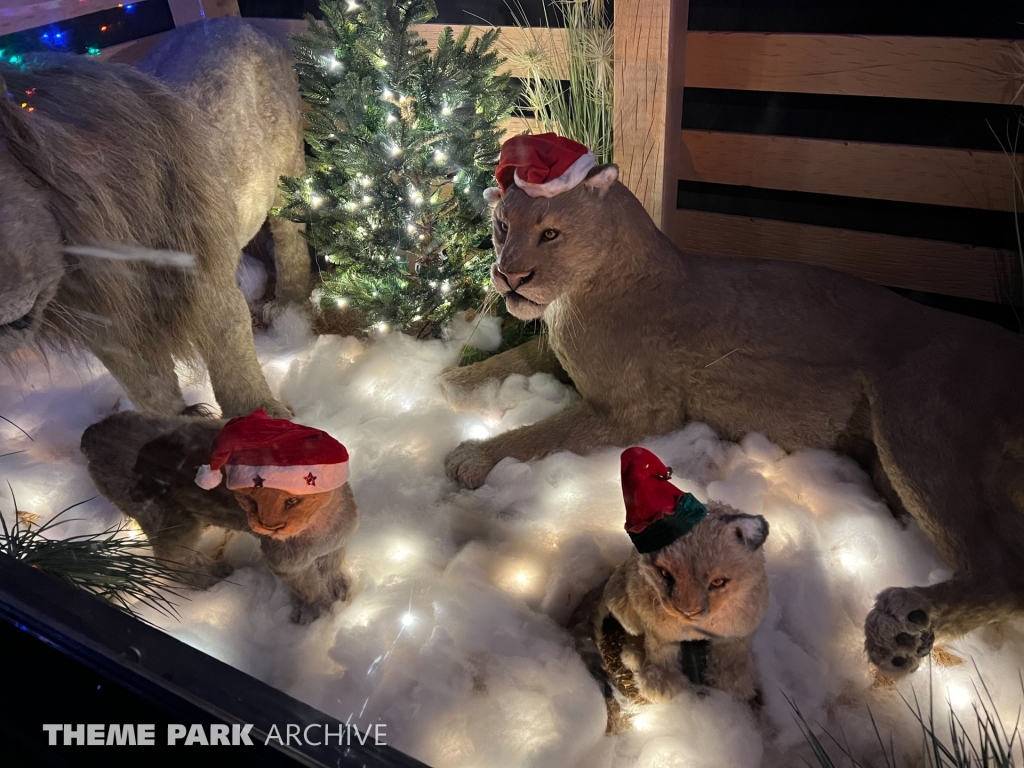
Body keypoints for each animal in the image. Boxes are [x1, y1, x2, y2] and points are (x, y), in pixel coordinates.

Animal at [0, 18, 307, 417]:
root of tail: (238, 21)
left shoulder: (208, 283)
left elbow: (234, 365)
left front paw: (265, 419)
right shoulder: (113, 333)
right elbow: (152, 393)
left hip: (288, 172)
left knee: (291, 236)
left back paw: (290, 306)